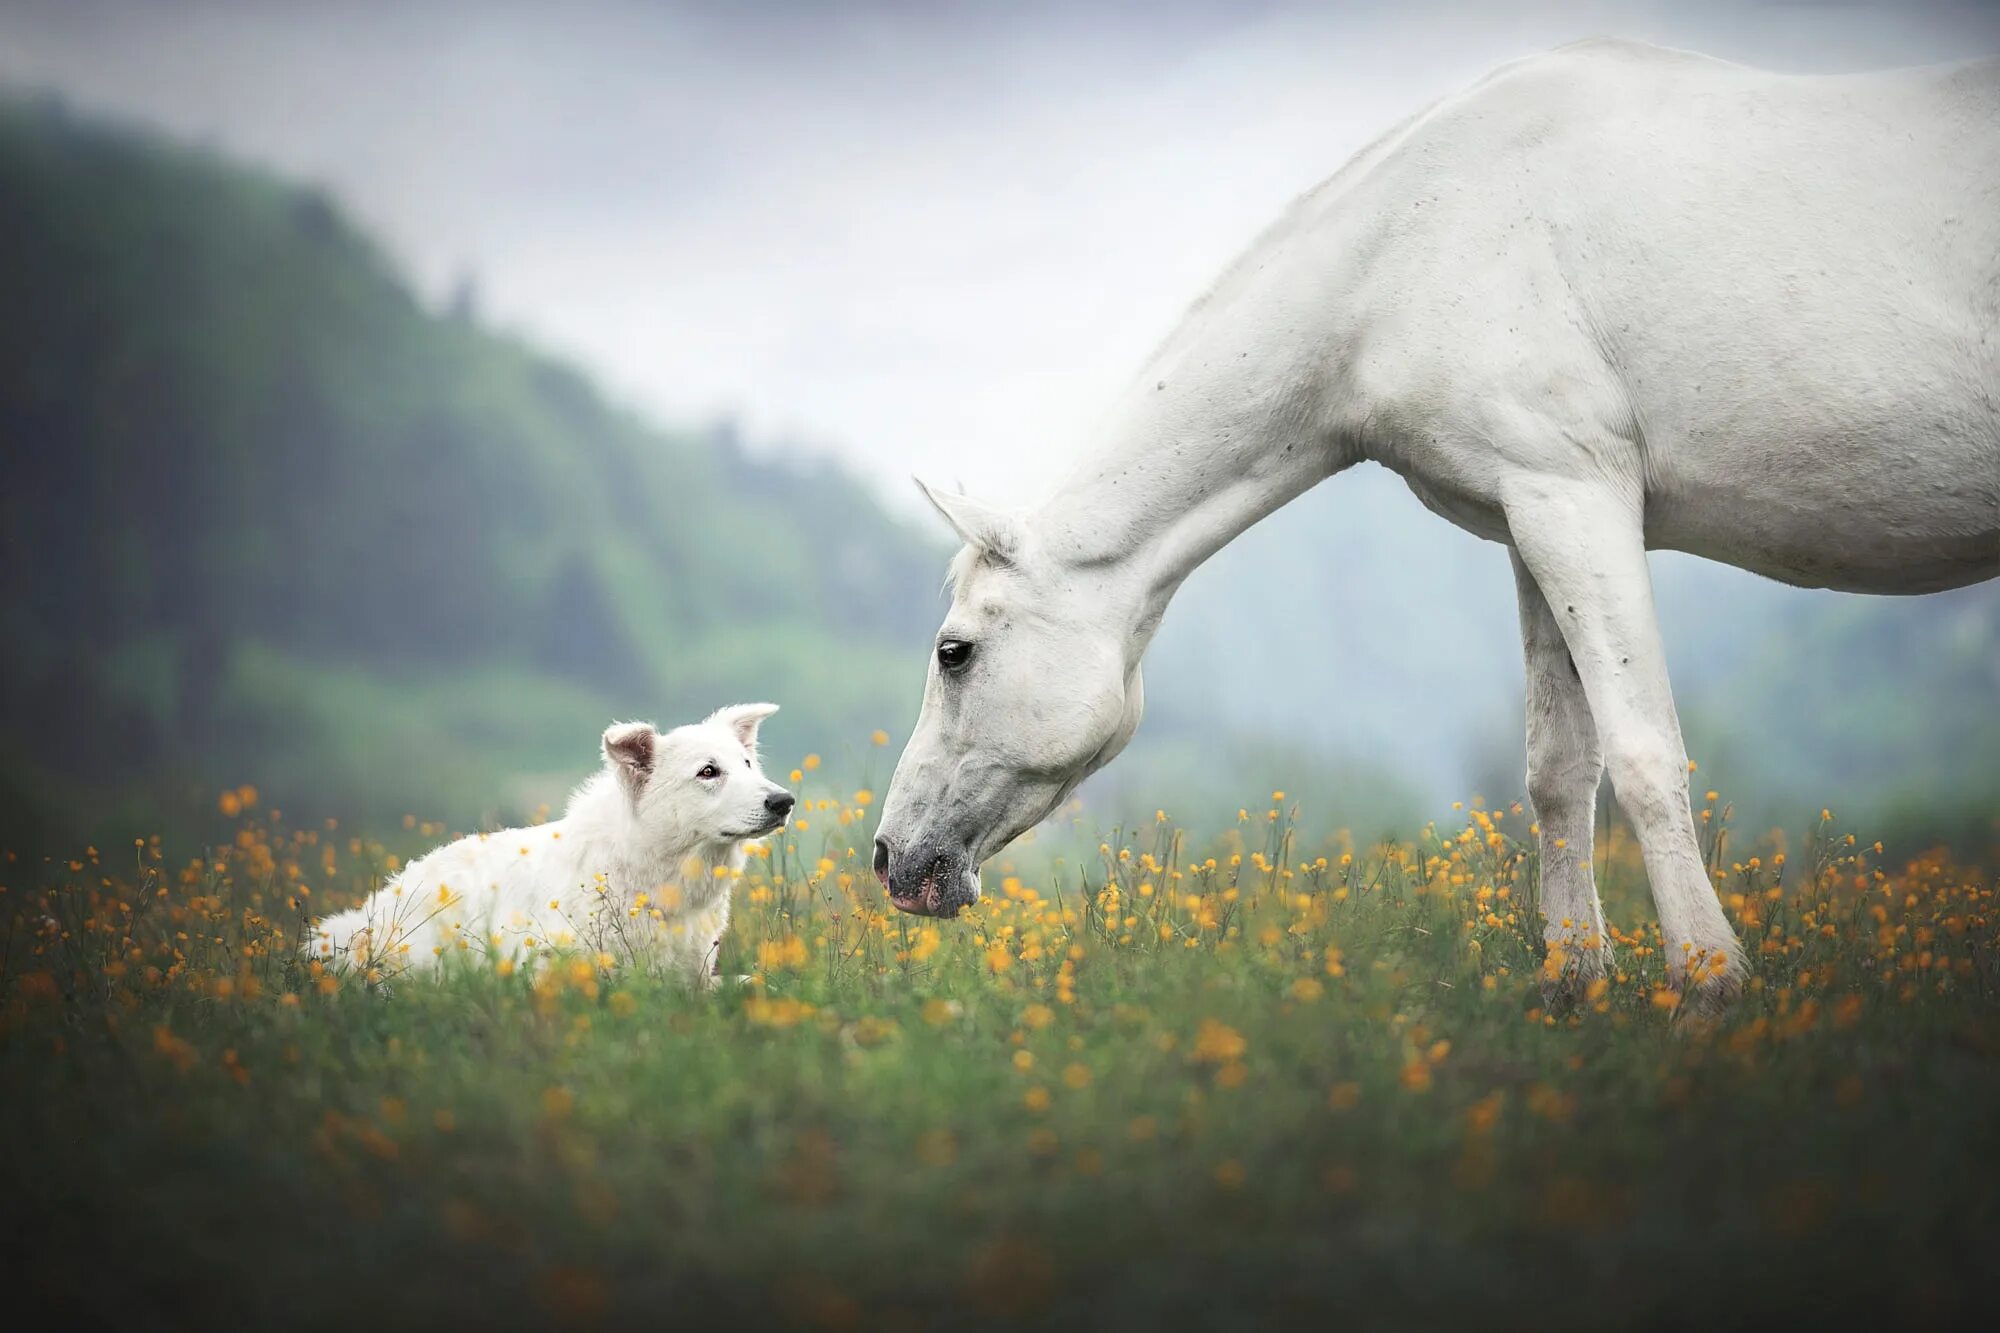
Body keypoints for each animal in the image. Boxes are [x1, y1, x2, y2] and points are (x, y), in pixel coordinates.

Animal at [880, 36, 2000, 1000]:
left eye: (954, 650)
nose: (892, 858)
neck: (1406, 250)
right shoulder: (1532, 517)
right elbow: (1558, 770)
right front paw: (1571, 982)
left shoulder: (1576, 497)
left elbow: (1643, 755)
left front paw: (1707, 985)